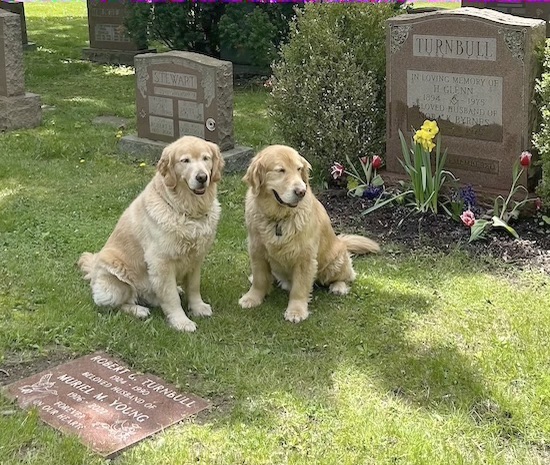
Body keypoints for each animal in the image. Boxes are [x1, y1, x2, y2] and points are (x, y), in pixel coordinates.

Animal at [77, 134, 224, 330]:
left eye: (206, 158)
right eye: (185, 160)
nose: (202, 177)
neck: (187, 211)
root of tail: (93, 269)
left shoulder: (196, 257)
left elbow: (194, 286)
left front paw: (198, 307)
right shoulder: (161, 261)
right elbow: (171, 297)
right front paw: (181, 322)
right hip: (115, 279)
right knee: (114, 304)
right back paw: (138, 310)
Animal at [239, 145, 382, 322]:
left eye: (299, 169)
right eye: (280, 170)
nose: (301, 191)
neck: (278, 218)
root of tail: (341, 241)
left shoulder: (304, 257)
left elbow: (299, 288)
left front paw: (296, 311)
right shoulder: (256, 249)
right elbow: (259, 279)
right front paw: (252, 298)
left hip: (334, 263)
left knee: (347, 275)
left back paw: (339, 287)